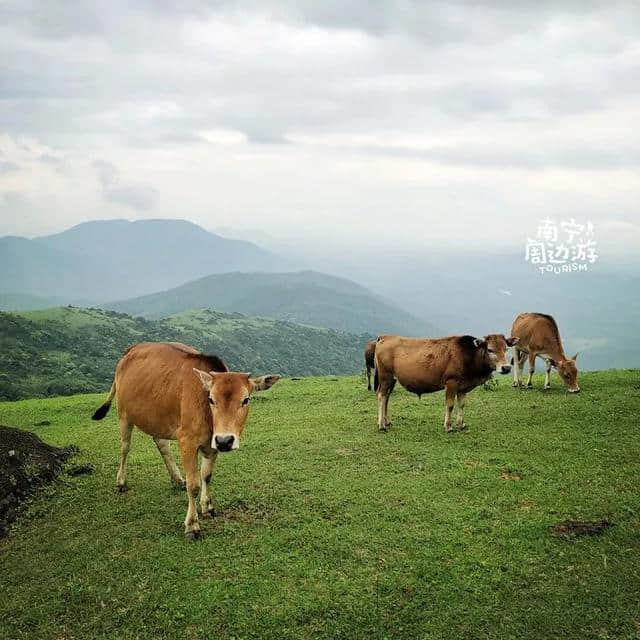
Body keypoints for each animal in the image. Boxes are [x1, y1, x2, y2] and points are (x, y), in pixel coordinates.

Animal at [90, 342, 280, 536]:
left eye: (246, 400)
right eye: (211, 399)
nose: (225, 440)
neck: (208, 417)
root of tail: (132, 349)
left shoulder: (212, 443)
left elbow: (206, 475)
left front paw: (207, 507)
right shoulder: (187, 441)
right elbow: (194, 484)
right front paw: (192, 524)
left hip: (157, 416)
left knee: (161, 443)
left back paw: (176, 479)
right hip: (124, 414)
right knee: (125, 447)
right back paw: (121, 481)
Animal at [372, 332, 516, 432]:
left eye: (506, 349)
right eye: (490, 349)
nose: (506, 368)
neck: (468, 356)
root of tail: (385, 337)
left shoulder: (463, 387)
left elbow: (462, 404)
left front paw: (461, 424)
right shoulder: (451, 382)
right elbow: (450, 405)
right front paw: (448, 426)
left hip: (392, 380)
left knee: (387, 398)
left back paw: (386, 421)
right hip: (385, 377)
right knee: (381, 396)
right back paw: (381, 425)